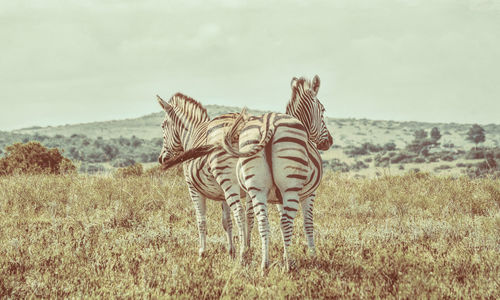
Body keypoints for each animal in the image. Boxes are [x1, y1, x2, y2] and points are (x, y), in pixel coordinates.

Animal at [158, 92, 248, 262]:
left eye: (163, 125)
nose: (161, 159)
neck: (191, 135)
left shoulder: (192, 188)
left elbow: (201, 220)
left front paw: (202, 253)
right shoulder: (222, 194)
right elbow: (226, 221)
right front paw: (230, 252)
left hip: (228, 180)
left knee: (240, 212)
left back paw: (244, 255)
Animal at [220, 75, 332, 272]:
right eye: (323, 110)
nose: (329, 142)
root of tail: (269, 121)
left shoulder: (278, 197)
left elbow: (276, 221)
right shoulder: (309, 194)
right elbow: (308, 223)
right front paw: (313, 257)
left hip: (257, 187)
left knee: (263, 221)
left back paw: (265, 265)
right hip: (291, 188)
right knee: (286, 223)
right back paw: (287, 266)